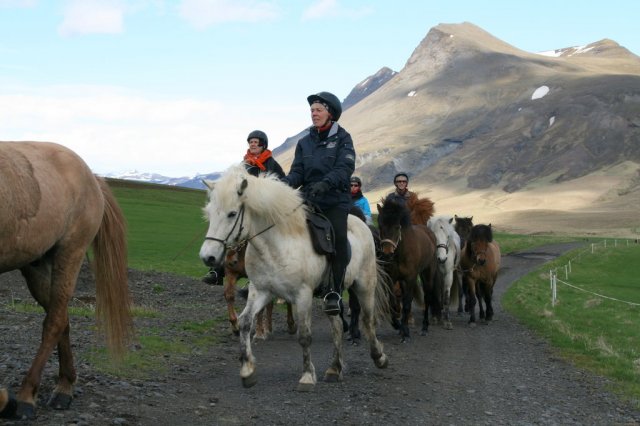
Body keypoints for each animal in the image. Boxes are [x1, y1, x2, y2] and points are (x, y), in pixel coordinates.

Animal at [0, 142, 132, 420]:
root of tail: (91, 176)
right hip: (37, 265)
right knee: (61, 318)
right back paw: (65, 385)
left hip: (70, 254)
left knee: (55, 321)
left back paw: (29, 396)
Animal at [200, 165, 390, 392]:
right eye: (210, 213)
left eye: (232, 214)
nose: (208, 257)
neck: (276, 245)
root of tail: (362, 224)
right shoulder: (260, 291)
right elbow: (245, 322)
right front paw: (247, 370)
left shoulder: (303, 295)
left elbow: (304, 335)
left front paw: (307, 376)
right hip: (331, 296)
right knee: (336, 325)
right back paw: (334, 369)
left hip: (364, 285)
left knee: (368, 321)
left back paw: (379, 357)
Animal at [376, 197, 440, 342]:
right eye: (381, 226)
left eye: (397, 227)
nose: (387, 253)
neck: (401, 252)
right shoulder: (392, 278)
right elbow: (393, 303)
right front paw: (397, 325)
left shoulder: (411, 278)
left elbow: (406, 304)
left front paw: (405, 332)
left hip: (427, 274)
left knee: (427, 297)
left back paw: (424, 327)